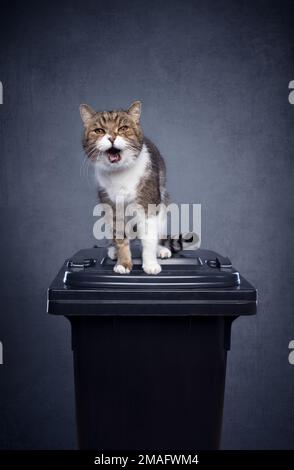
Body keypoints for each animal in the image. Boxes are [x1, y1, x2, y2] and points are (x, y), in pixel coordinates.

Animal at [79, 100, 196, 276]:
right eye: (99, 131)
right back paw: (113, 250)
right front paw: (124, 263)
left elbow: (148, 239)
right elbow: (120, 238)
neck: (120, 174)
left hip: (163, 204)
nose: (112, 137)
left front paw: (150, 264)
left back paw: (160, 250)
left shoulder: (148, 205)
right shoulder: (113, 208)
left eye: (123, 128)